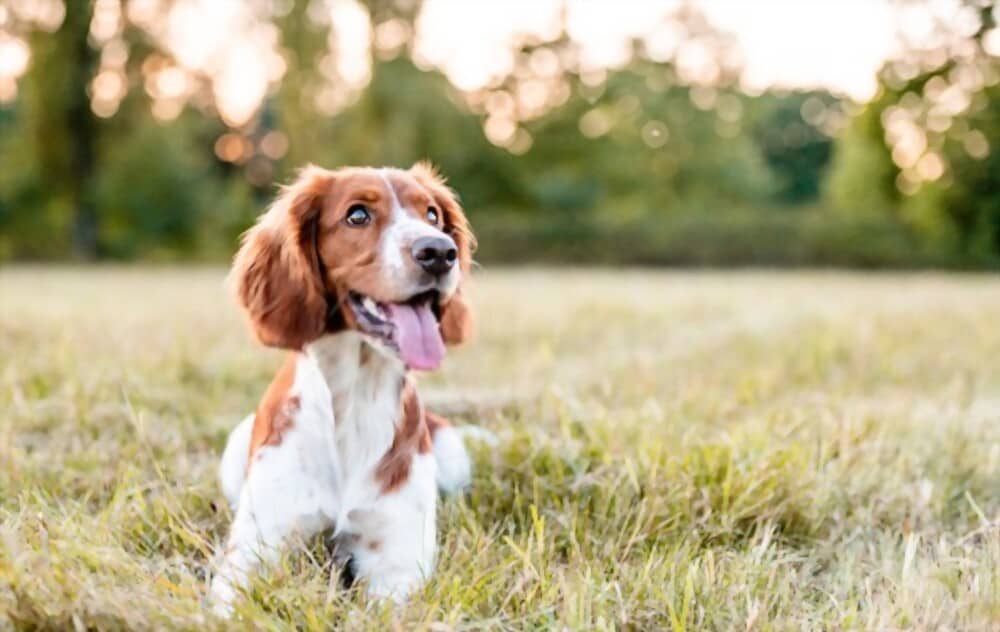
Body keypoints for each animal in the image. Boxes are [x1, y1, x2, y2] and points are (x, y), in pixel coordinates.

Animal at [209, 162, 478, 612]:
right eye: (357, 215)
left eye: (432, 215)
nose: (439, 252)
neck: (356, 398)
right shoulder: (251, 551)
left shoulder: (397, 563)